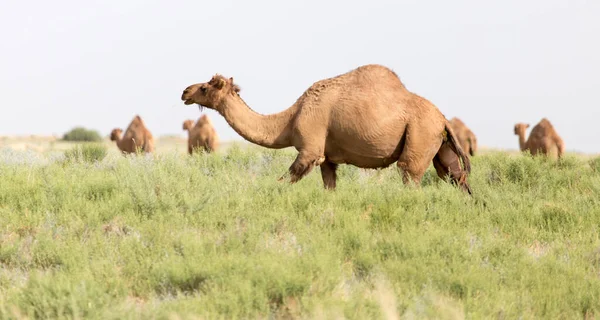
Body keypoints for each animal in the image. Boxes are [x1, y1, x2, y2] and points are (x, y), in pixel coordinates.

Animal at [180, 62, 472, 192]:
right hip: (439, 143)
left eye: (205, 87)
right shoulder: (328, 158)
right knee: (455, 175)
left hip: (420, 135)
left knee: (410, 174)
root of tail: (443, 118)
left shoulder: (310, 148)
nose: (185, 91)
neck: (290, 119)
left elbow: (284, 180)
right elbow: (329, 187)